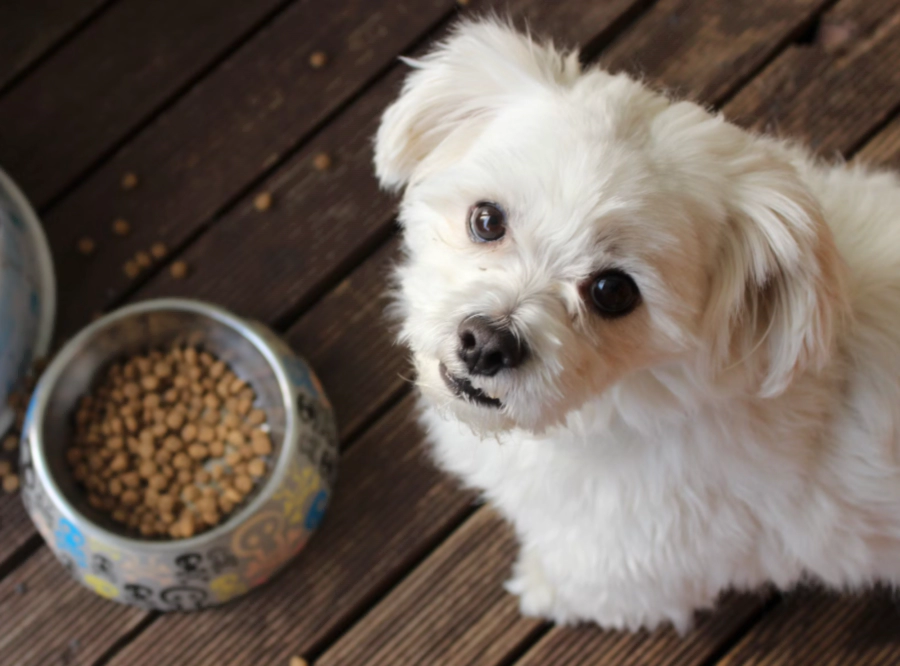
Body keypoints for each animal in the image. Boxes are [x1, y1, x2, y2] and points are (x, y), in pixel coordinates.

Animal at [374, 19, 900, 632]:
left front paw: (539, 585)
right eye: (486, 219)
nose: (486, 344)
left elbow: (582, 584)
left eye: (613, 291)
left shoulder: (635, 566)